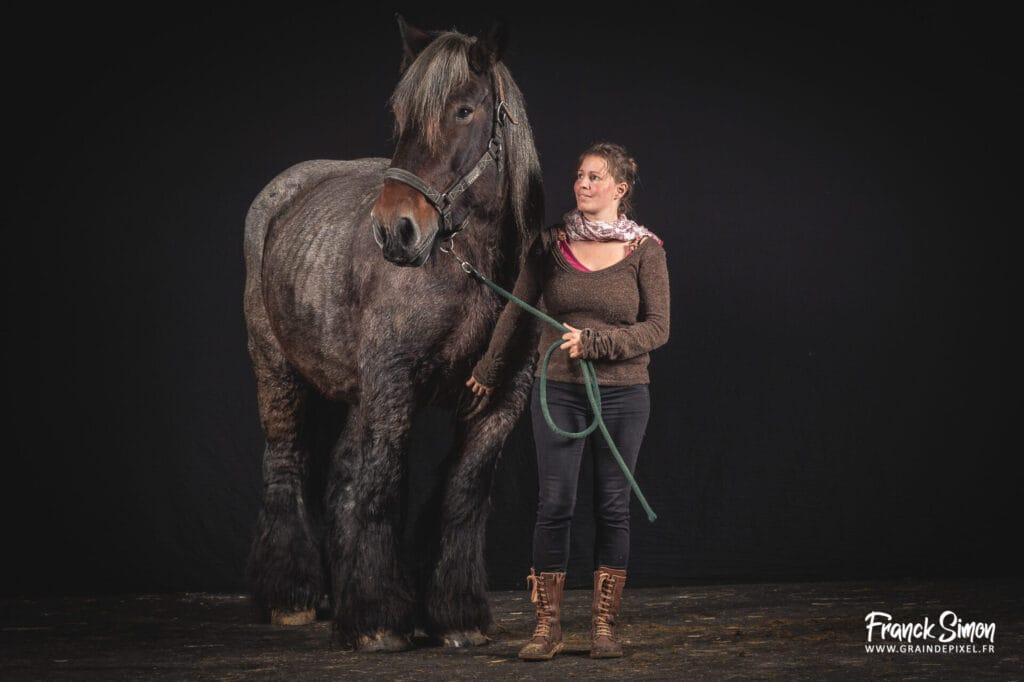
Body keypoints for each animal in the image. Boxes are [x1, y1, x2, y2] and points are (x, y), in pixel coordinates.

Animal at [242, 15, 544, 651]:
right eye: (401, 115)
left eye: (464, 110)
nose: (396, 230)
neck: (472, 272)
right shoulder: (393, 384)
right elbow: (382, 486)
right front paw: (380, 619)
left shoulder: (502, 398)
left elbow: (462, 492)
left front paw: (456, 616)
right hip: (278, 371)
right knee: (286, 461)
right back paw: (290, 596)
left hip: (357, 391)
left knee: (340, 478)